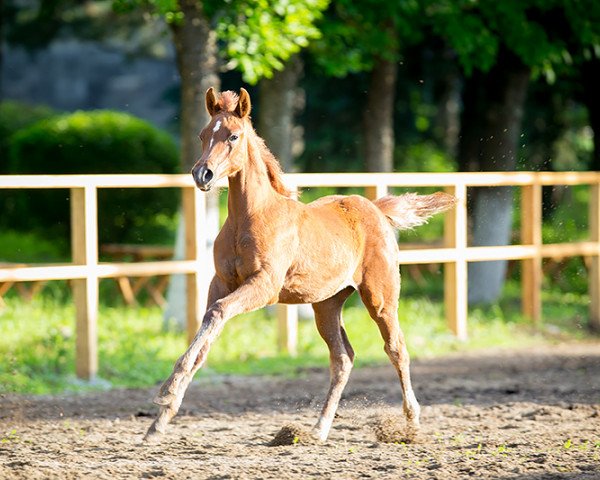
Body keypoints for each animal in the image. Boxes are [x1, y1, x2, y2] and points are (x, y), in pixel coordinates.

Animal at [145, 87, 454, 442]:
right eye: (203, 134)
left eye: (233, 136)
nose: (202, 174)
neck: (250, 218)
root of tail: (375, 208)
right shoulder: (220, 283)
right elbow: (206, 336)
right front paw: (159, 421)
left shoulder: (264, 285)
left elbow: (217, 314)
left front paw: (166, 393)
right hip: (326, 304)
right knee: (343, 357)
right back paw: (319, 429)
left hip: (380, 298)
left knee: (396, 348)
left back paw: (410, 421)